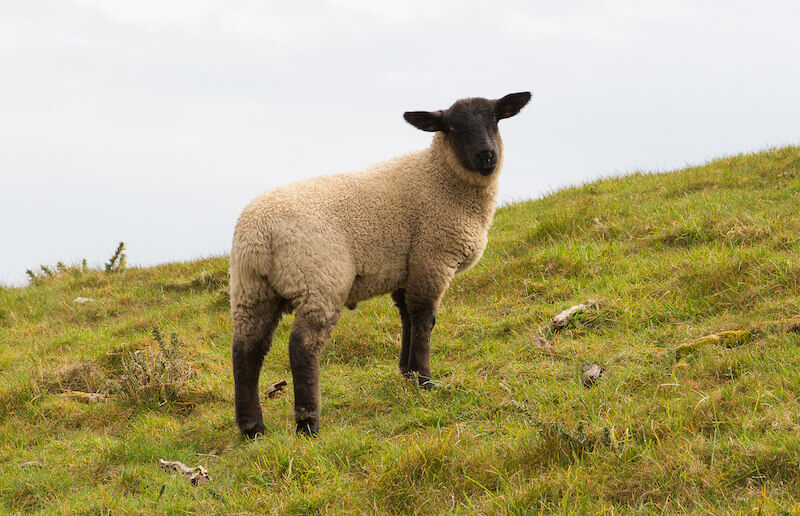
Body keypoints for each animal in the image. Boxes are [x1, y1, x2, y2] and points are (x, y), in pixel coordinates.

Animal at [230, 92, 532, 437]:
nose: (486, 155)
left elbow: (407, 318)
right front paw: (426, 380)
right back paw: (307, 423)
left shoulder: (407, 268)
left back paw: (253, 428)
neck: (441, 177)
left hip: (251, 290)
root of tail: (259, 234)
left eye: (495, 119)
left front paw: (408, 373)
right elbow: (425, 319)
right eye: (452, 127)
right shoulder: (432, 258)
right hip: (319, 279)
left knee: (246, 351)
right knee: (303, 348)